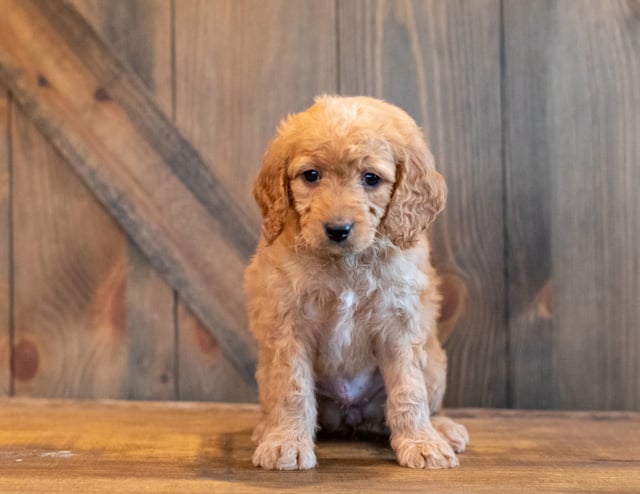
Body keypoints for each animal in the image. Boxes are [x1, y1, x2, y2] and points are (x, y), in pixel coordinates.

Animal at [242, 94, 468, 468]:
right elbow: (291, 388)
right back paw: (266, 429)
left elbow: (409, 389)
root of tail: (352, 413)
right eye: (311, 175)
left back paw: (442, 429)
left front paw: (421, 443)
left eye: (371, 179)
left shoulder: (399, 322)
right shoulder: (288, 323)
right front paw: (286, 443)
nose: (337, 229)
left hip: (436, 365)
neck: (346, 263)